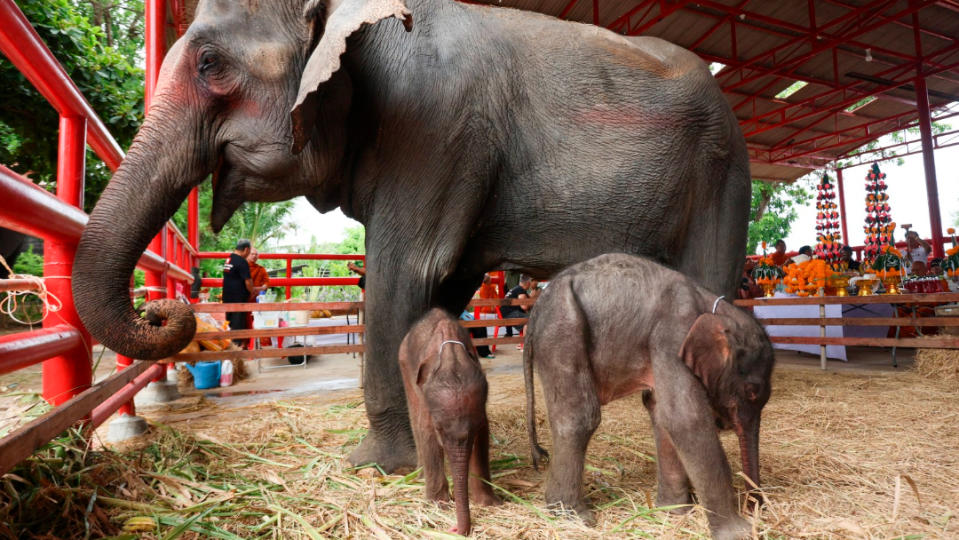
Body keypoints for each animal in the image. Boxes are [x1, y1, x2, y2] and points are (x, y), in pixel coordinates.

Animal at [71, 0, 752, 470]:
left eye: (210, 64)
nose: (165, 309)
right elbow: (440, 291)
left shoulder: (433, 129)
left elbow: (405, 273)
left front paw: (375, 466)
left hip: (723, 171)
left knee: (709, 283)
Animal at [398, 308, 502, 536]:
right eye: (439, 428)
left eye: (475, 427)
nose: (453, 529)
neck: (451, 355)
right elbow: (426, 430)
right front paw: (438, 504)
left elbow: (483, 436)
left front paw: (490, 504)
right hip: (404, 365)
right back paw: (421, 476)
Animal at [520, 253, 776, 540]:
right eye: (751, 391)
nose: (756, 507)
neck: (714, 308)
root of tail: (535, 313)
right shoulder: (672, 335)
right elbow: (685, 419)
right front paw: (741, 532)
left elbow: (661, 414)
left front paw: (674, 513)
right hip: (563, 331)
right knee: (579, 417)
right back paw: (573, 518)